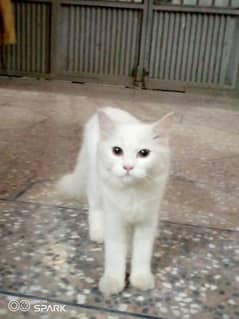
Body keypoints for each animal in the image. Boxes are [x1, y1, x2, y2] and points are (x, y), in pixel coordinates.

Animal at [58, 108, 174, 298]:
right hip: (96, 185)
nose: (128, 167)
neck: (132, 193)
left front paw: (140, 278)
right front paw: (112, 282)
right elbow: (114, 256)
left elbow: (142, 254)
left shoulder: (146, 221)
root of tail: (108, 108)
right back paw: (98, 233)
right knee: (94, 209)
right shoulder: (115, 221)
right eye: (117, 151)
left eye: (144, 153)